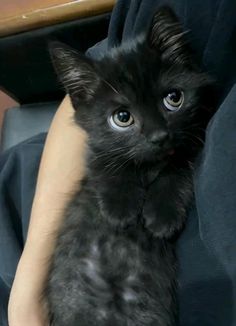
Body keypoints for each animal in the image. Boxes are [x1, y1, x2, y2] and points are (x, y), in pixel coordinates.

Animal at [45, 6, 217, 324]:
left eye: (174, 98)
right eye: (122, 117)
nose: (159, 136)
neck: (148, 165)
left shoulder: (191, 139)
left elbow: (177, 167)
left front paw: (161, 217)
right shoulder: (96, 151)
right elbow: (107, 164)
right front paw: (120, 207)